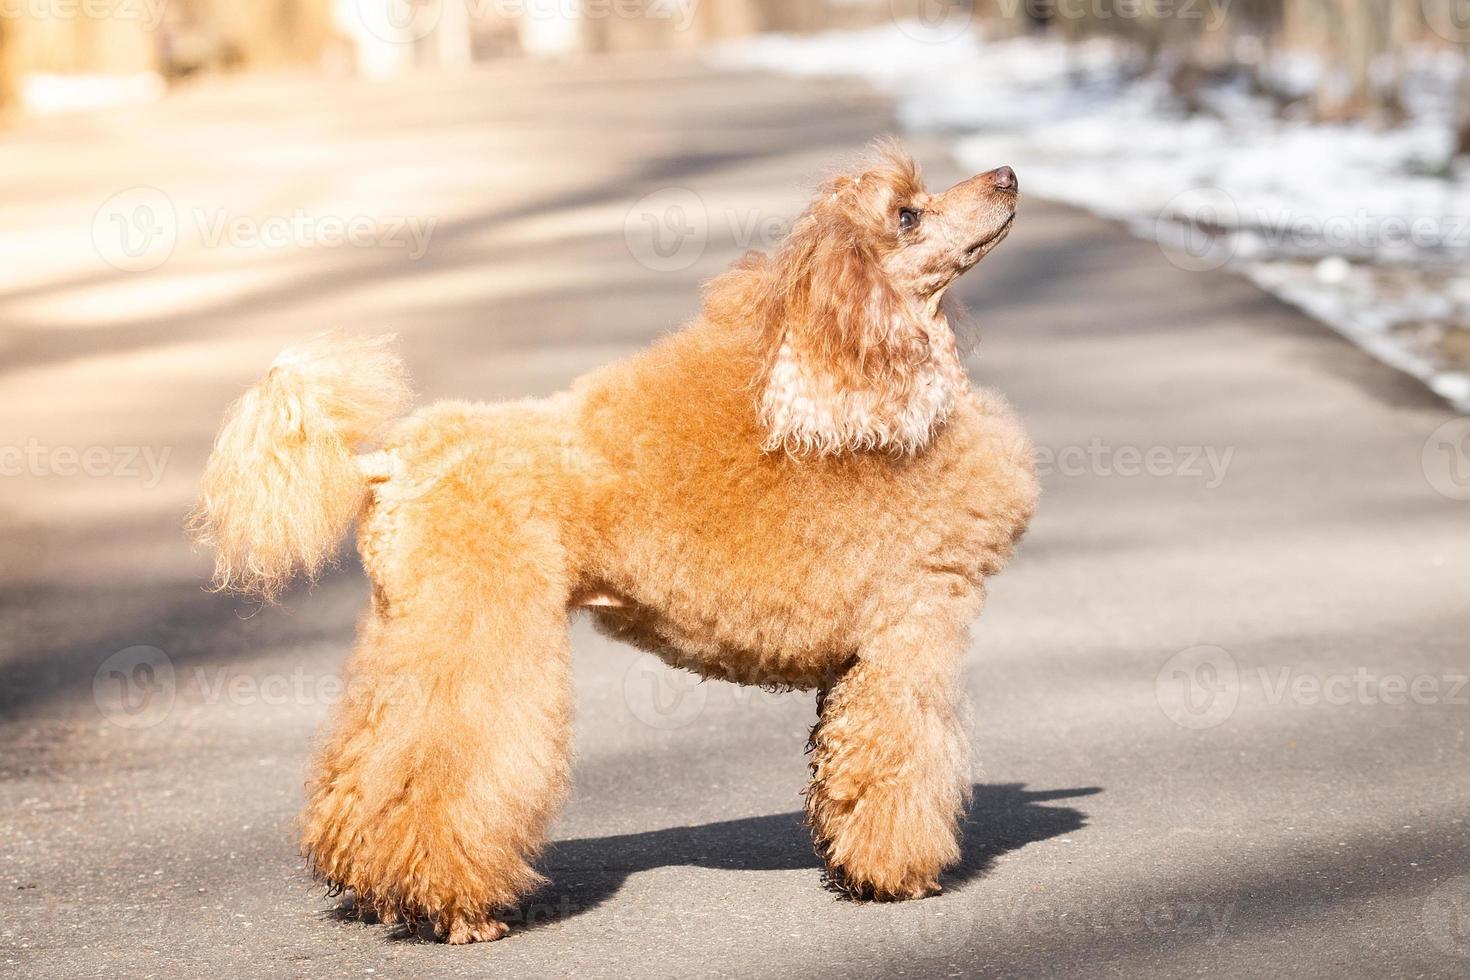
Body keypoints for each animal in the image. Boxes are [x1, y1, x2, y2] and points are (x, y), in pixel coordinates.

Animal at [189, 141, 1034, 946]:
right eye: (906, 215)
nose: (1008, 175)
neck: (864, 397)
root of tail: (389, 462)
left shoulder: (861, 663)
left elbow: (844, 764)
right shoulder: (907, 633)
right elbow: (902, 757)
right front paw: (899, 878)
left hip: (407, 629)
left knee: (365, 765)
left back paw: (367, 883)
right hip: (479, 624)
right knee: (445, 769)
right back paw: (456, 909)